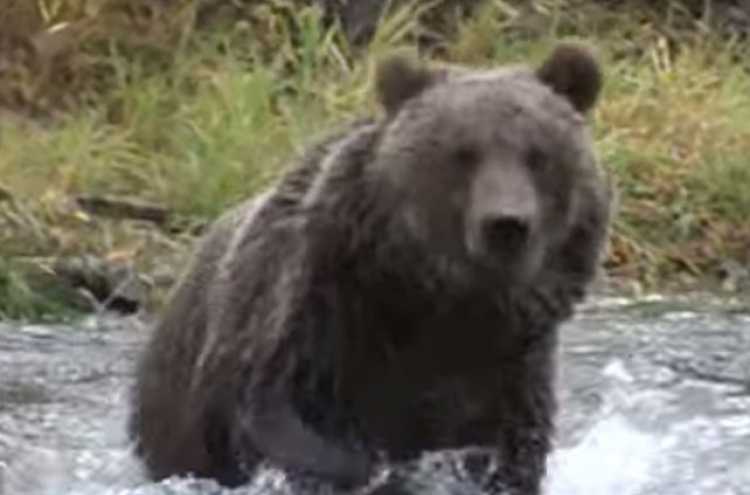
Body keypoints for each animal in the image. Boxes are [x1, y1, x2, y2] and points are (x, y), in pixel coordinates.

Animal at [128, 42, 616, 495]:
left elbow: (512, 449)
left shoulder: (510, 364)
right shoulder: (316, 304)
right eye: (463, 153)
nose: (506, 224)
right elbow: (279, 409)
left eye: (538, 154)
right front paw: (376, 469)